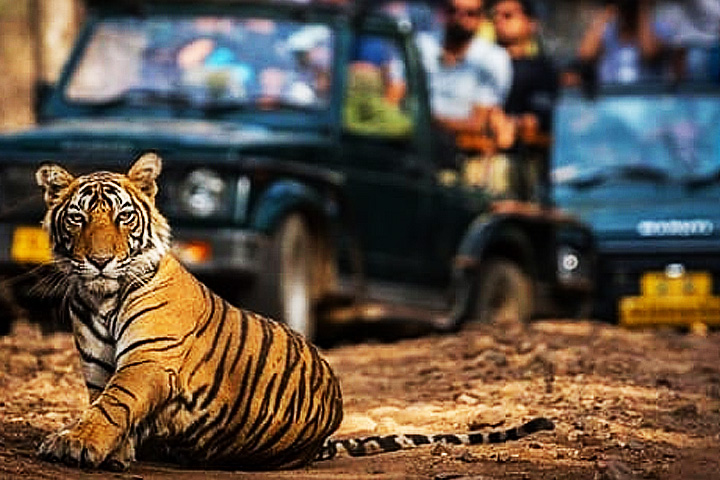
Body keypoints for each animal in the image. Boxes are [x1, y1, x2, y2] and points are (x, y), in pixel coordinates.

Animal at [35, 152, 554, 471]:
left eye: (123, 216)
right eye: (78, 218)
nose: (100, 260)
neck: (101, 297)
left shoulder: (149, 359)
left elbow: (114, 404)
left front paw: (77, 444)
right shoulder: (99, 367)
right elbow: (105, 404)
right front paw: (109, 450)